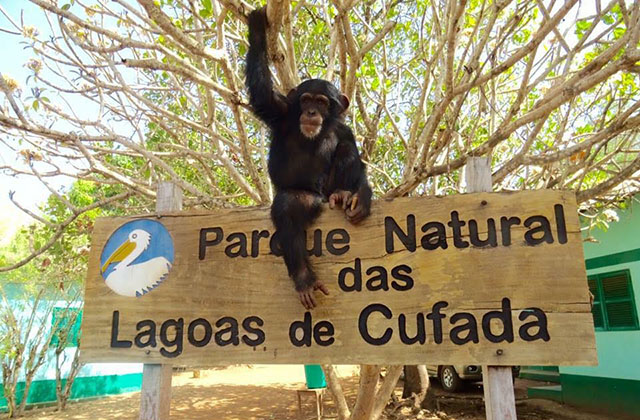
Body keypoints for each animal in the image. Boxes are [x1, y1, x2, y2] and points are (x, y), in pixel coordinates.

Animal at [246, 7, 372, 309]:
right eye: (306, 100)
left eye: (322, 102)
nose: (312, 112)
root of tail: (323, 198)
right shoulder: (279, 110)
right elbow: (262, 93)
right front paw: (257, 28)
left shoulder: (345, 129)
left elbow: (353, 151)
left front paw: (362, 195)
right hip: (308, 198)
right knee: (288, 208)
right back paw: (303, 278)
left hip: (326, 191)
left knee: (345, 151)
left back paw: (343, 194)